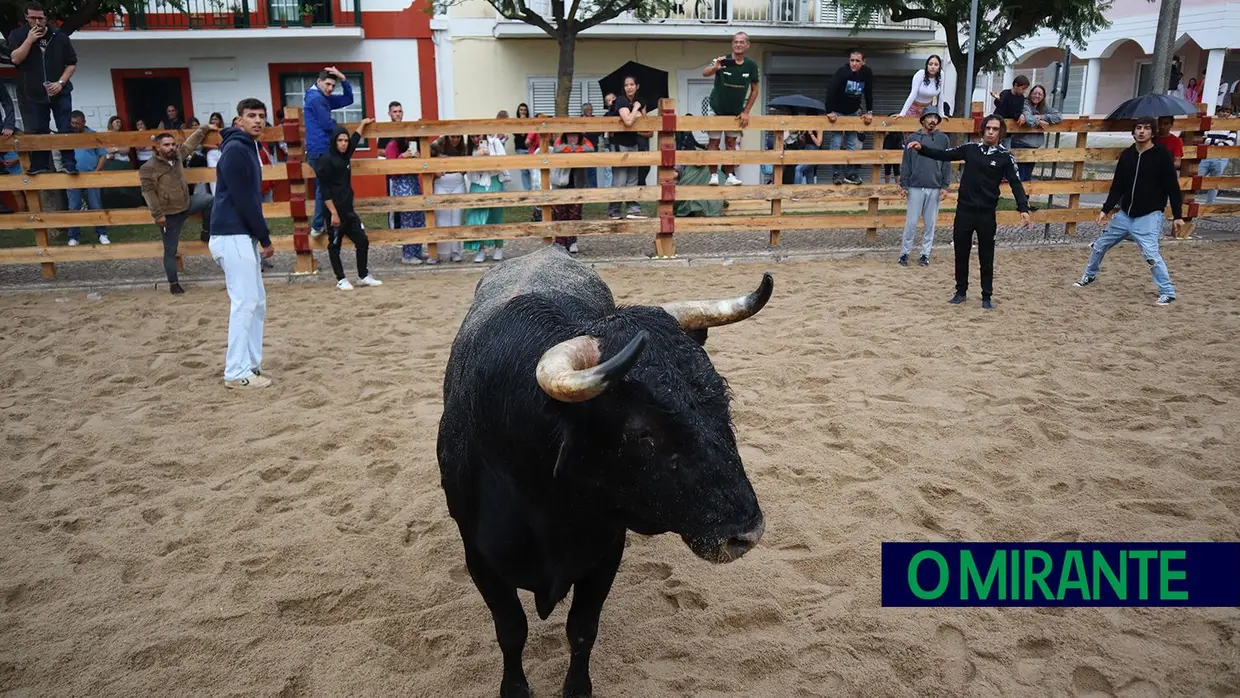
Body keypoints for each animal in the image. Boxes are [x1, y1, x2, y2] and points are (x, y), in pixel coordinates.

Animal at [434, 246, 763, 698]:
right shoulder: (480, 559)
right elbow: (511, 630)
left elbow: (582, 629)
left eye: (722, 396)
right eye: (641, 430)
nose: (746, 533)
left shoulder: (606, 550)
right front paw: (515, 687)